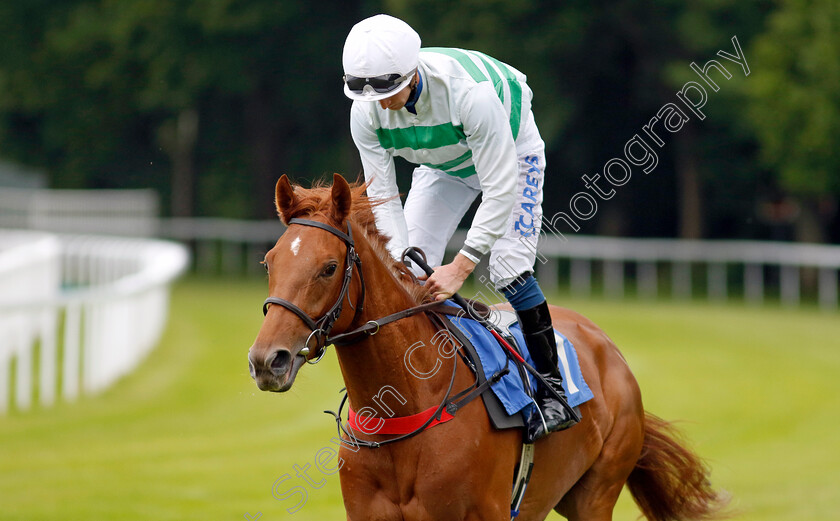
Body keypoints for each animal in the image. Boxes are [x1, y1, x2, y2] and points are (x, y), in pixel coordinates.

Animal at [246, 175, 724, 520]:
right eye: (269, 262)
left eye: (329, 268)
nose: (268, 360)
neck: (404, 409)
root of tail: (610, 349)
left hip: (596, 493)